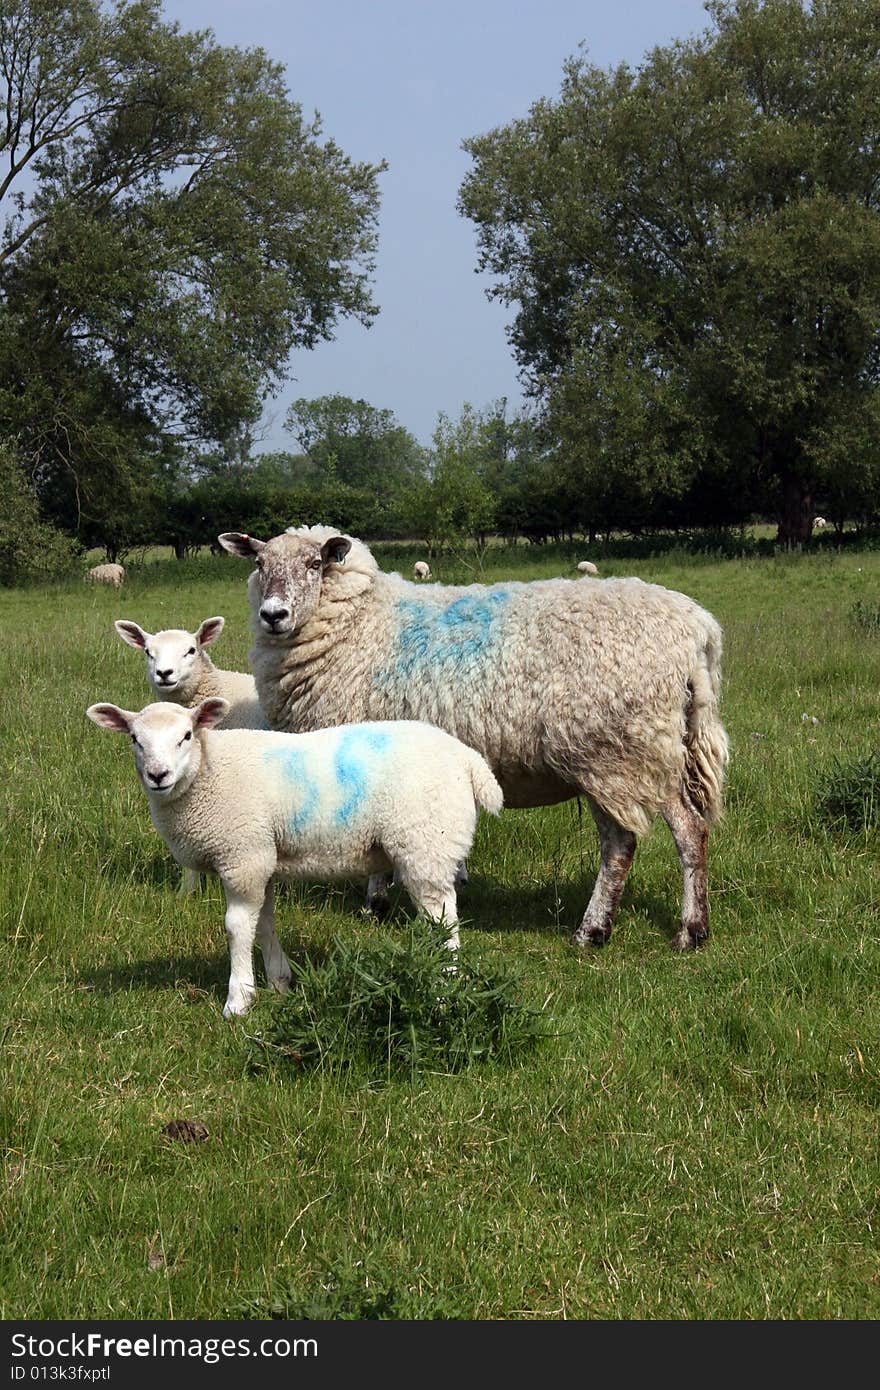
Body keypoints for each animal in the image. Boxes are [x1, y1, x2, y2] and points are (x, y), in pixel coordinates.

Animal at [88, 700, 503, 1017]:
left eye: (186, 736)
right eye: (135, 739)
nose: (158, 775)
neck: (209, 771)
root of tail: (468, 760)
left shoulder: (242, 856)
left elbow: (237, 926)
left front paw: (238, 1000)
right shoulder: (263, 857)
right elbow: (264, 922)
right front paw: (279, 980)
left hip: (425, 843)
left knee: (443, 919)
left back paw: (443, 985)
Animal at [218, 522, 728, 956]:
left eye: (314, 564)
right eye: (259, 563)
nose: (273, 615)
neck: (358, 622)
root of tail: (697, 630)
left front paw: (374, 902)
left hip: (616, 751)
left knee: (650, 838)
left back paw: (640, 930)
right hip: (648, 751)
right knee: (677, 831)